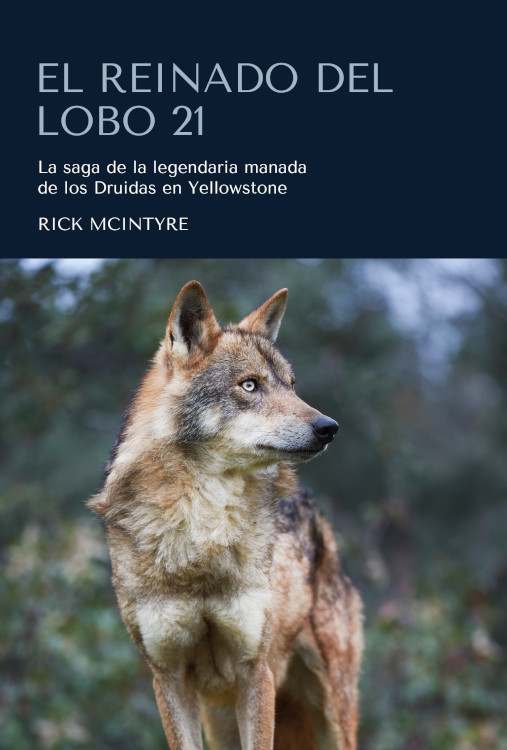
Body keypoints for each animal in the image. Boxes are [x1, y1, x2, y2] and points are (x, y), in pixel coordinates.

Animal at [88, 281, 363, 750]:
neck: (202, 531)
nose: (329, 427)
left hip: (332, 712)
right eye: (250, 385)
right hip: (219, 716)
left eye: (292, 386)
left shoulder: (256, 671)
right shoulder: (168, 676)